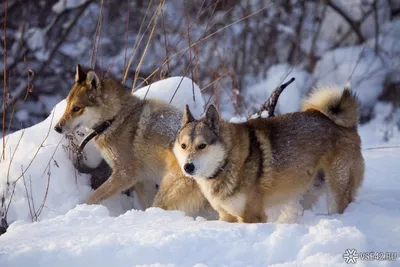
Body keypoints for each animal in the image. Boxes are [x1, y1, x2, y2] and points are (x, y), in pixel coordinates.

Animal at [54, 65, 211, 216]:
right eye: (67, 106)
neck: (113, 119)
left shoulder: (124, 175)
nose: (56, 128)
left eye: (76, 108)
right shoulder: (143, 181)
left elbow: (92, 197)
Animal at [170, 87, 364, 223]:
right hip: (305, 193)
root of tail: (347, 127)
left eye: (202, 145)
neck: (227, 162)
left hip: (336, 194)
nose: (188, 167)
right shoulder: (226, 216)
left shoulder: (251, 216)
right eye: (184, 146)